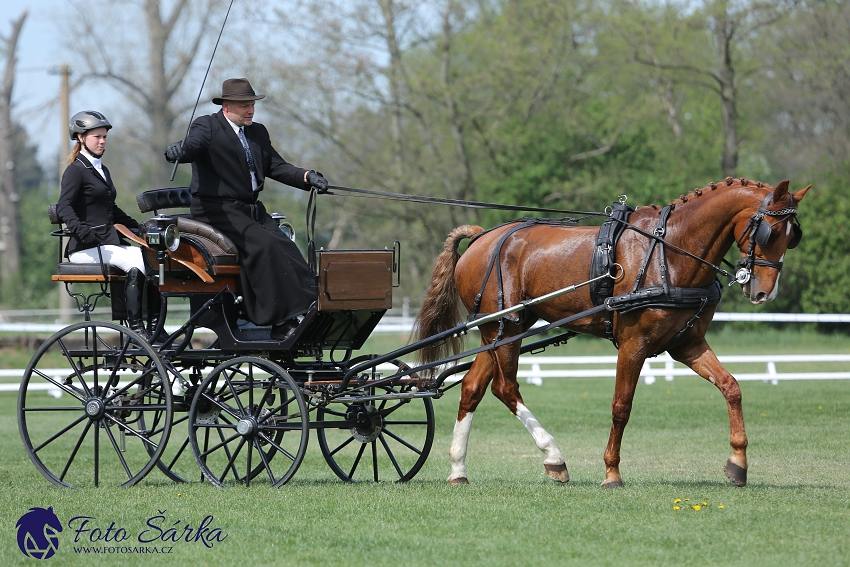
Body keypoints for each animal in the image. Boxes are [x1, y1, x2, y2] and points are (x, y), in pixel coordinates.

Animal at [414, 179, 812, 488]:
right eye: (770, 232)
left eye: (793, 236)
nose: (764, 292)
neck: (668, 251)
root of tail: (482, 236)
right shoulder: (633, 345)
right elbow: (621, 406)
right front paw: (612, 473)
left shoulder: (687, 344)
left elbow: (731, 387)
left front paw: (738, 464)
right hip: (505, 327)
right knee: (505, 387)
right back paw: (554, 457)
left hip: (499, 332)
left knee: (473, 388)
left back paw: (458, 468)